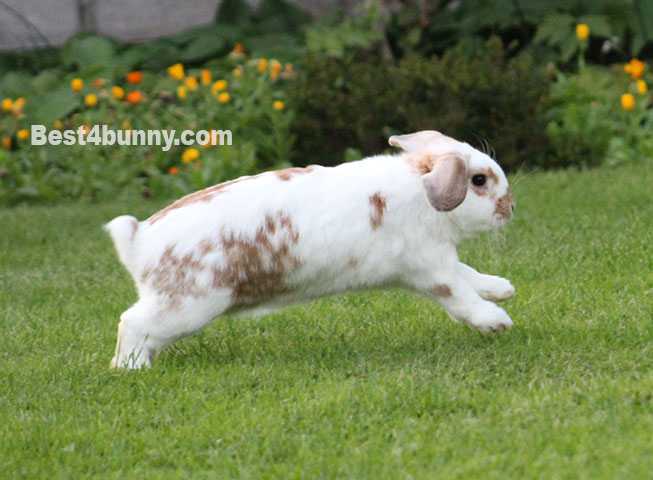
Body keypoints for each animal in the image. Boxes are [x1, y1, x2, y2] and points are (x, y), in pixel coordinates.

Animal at [105, 130, 516, 368]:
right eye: (479, 181)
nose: (510, 208)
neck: (421, 191)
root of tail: (139, 239)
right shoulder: (430, 268)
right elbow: (460, 296)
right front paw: (497, 321)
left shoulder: (441, 257)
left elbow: (471, 275)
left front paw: (503, 288)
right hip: (185, 307)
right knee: (132, 324)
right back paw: (130, 369)